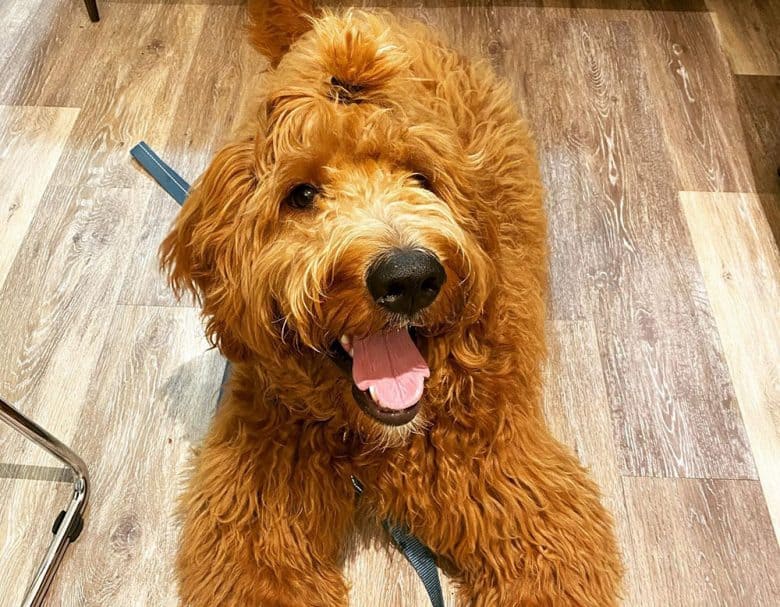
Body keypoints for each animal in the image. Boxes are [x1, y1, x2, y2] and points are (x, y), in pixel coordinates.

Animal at [161, 2, 624, 604]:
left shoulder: (524, 500)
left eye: (421, 178)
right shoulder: (257, 509)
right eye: (301, 194)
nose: (408, 277)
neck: (378, 441)